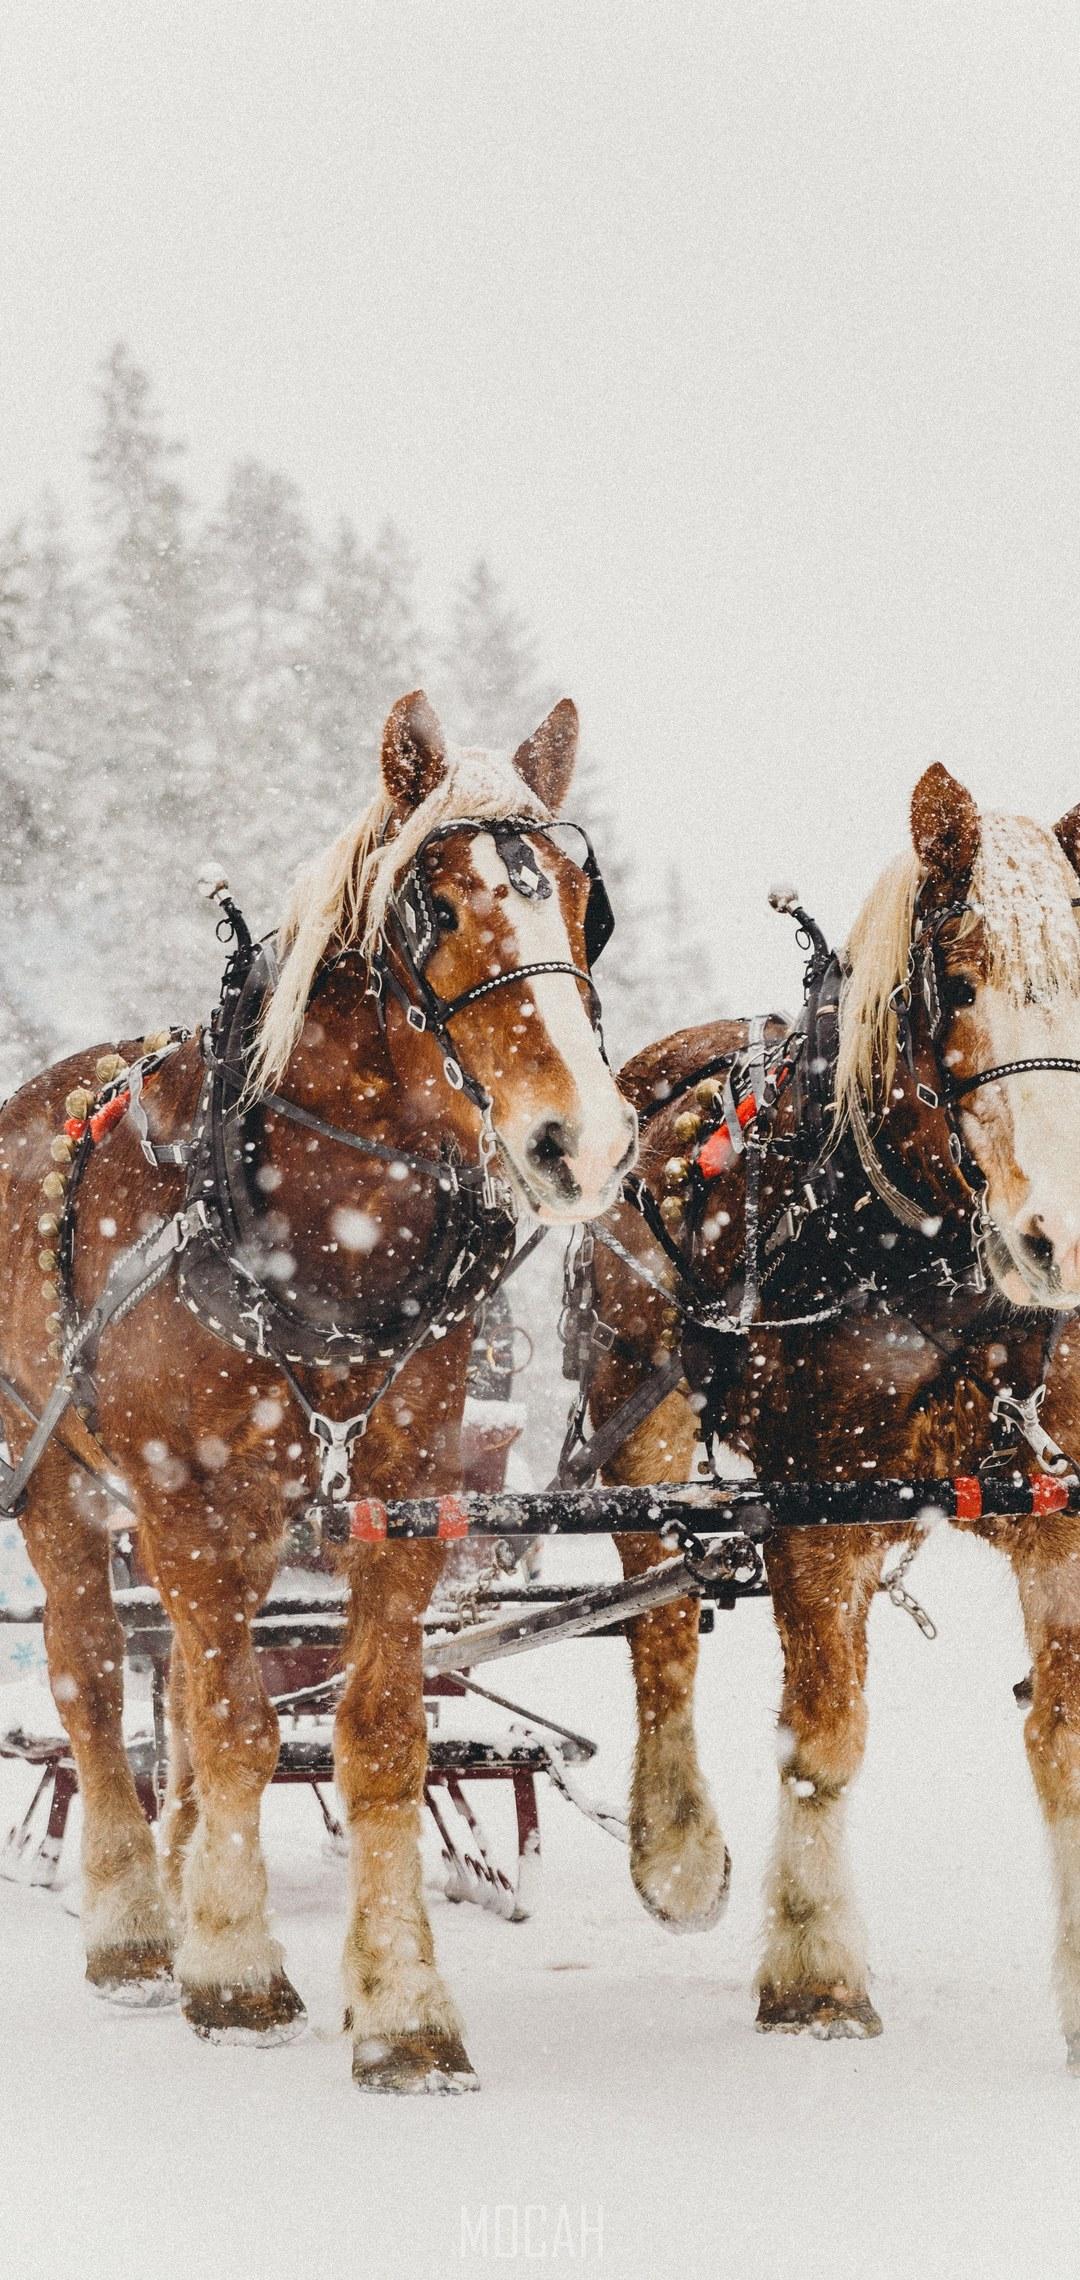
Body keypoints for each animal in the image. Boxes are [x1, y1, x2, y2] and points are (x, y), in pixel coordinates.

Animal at [0, 688, 636, 2093]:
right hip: (66, 1481)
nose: (583, 1140)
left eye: (581, 903)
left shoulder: (399, 1495)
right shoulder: (187, 1498)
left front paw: (400, 2007)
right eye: (435, 910)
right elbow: (233, 1722)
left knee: (184, 1695)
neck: (310, 1221)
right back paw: (138, 1930)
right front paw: (236, 1973)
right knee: (99, 1684)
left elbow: (377, 1729)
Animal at [580, 764, 1080, 2063]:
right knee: (658, 1620)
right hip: (636, 1416)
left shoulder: (1064, 1520)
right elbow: (822, 1742)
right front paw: (815, 1974)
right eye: (959, 983)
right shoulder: (818, 1513)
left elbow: (1063, 1746)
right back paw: (676, 1845)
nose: (1059, 1238)